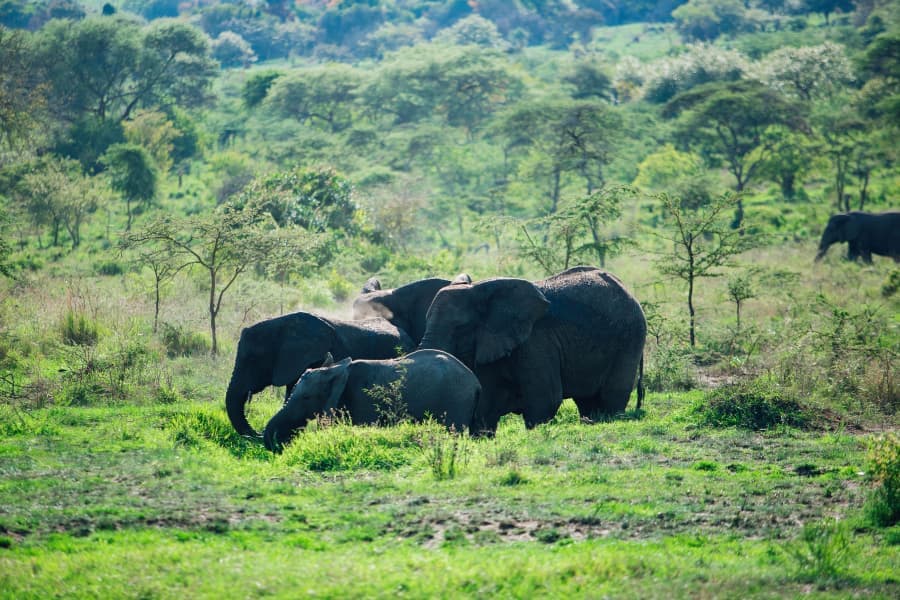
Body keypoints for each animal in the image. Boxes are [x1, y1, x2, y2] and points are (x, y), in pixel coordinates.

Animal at [263, 349, 481, 452]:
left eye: (306, 397)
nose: (281, 444)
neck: (337, 369)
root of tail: (476, 382)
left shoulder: (362, 400)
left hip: (457, 399)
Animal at [419, 266, 646, 435]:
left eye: (460, 328)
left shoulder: (536, 340)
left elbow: (545, 399)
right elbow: (485, 401)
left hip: (630, 338)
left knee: (611, 397)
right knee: (587, 402)